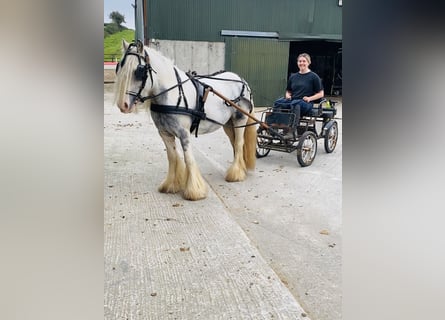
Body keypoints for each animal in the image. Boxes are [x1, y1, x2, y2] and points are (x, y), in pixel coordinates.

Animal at [113, 40, 256, 200]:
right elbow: (172, 157)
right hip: (228, 124)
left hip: (240, 119)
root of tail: (241, 80)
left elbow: (188, 158)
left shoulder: (183, 133)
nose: (123, 105)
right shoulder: (164, 133)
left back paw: (236, 174)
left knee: (239, 143)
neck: (173, 93)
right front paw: (170, 185)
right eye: (119, 68)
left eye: (139, 71)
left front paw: (194, 191)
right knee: (235, 143)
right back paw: (240, 168)